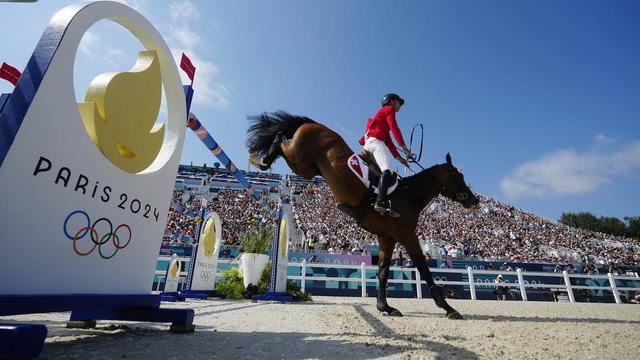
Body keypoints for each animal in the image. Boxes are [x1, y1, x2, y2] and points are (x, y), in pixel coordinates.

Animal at [248, 112, 478, 318]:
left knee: (282, 143)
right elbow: (423, 268)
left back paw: (261, 158)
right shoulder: (407, 236)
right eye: (457, 175)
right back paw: (262, 159)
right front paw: (447, 307)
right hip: (299, 156)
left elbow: (383, 272)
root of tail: (313, 124)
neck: (409, 194)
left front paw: (385, 307)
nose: (474, 201)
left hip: (306, 168)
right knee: (280, 139)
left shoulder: (387, 239)